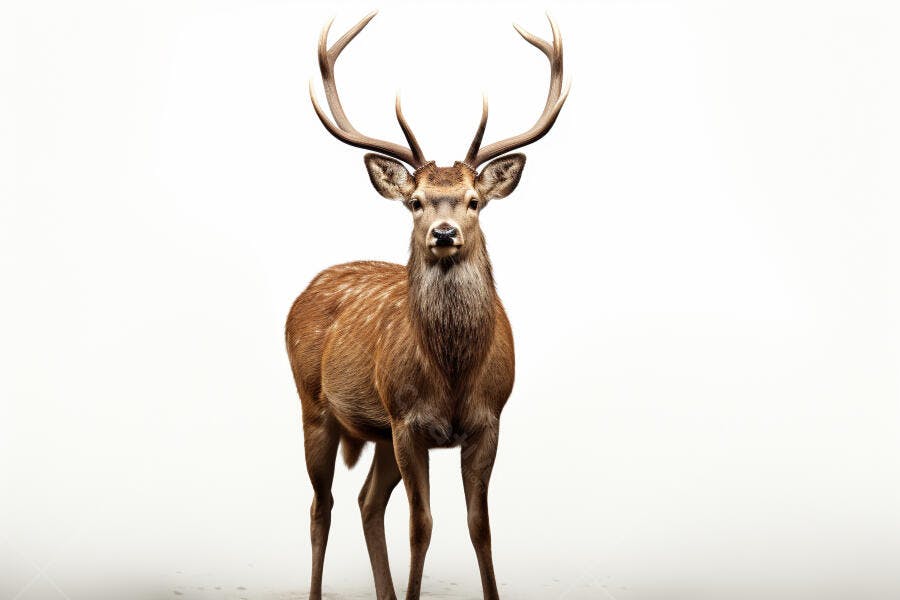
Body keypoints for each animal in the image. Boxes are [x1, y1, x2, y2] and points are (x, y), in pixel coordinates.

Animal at [285, 11, 569, 600]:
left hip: (376, 432)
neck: (454, 373)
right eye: (415, 203)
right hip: (314, 406)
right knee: (321, 506)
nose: (443, 232)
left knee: (366, 502)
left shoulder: (488, 421)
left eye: (474, 201)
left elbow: (480, 526)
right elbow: (421, 525)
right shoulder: (408, 422)